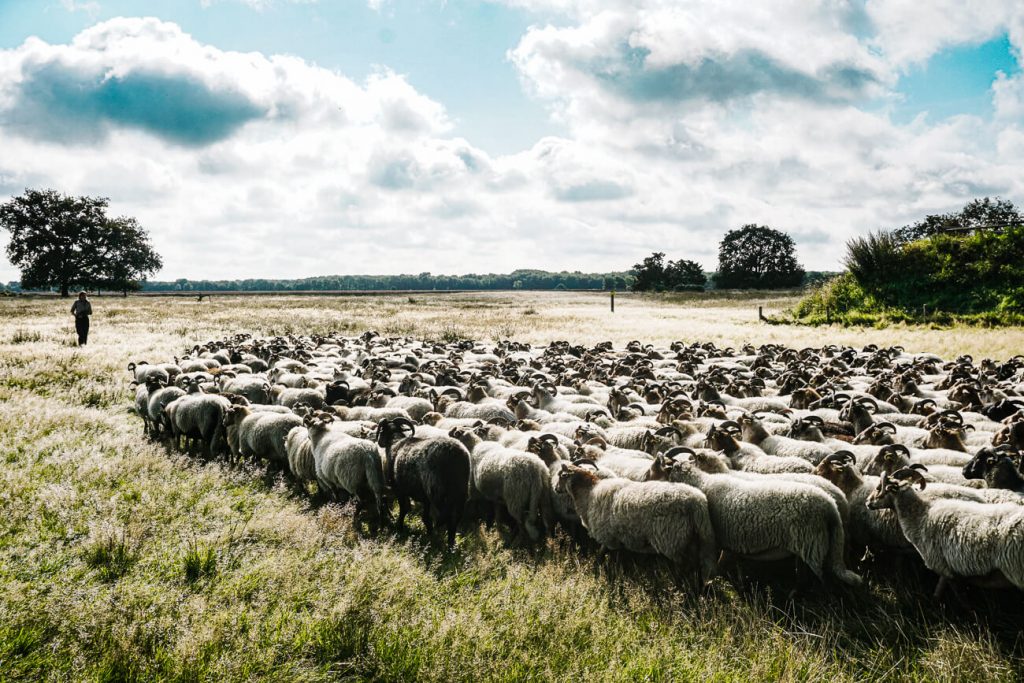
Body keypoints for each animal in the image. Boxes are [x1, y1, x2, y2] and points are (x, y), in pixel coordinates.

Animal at [376, 413, 471, 548]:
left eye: (381, 430)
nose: (379, 442)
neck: (395, 442)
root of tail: (456, 455)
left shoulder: (399, 489)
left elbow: (403, 509)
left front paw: (399, 527)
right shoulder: (424, 497)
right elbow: (425, 517)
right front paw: (429, 532)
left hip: (438, 491)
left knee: (447, 517)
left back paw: (443, 542)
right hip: (460, 492)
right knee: (456, 518)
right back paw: (450, 545)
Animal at [557, 458, 716, 581]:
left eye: (560, 476)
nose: (556, 489)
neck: (589, 493)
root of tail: (698, 503)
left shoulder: (606, 536)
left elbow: (601, 555)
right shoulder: (617, 538)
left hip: (673, 540)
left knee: (684, 567)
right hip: (693, 539)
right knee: (697, 564)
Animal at [868, 466, 1024, 593]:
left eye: (879, 488)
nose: (867, 502)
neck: (920, 515)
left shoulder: (943, 567)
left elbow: (951, 596)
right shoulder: (949, 569)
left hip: (1016, 571)